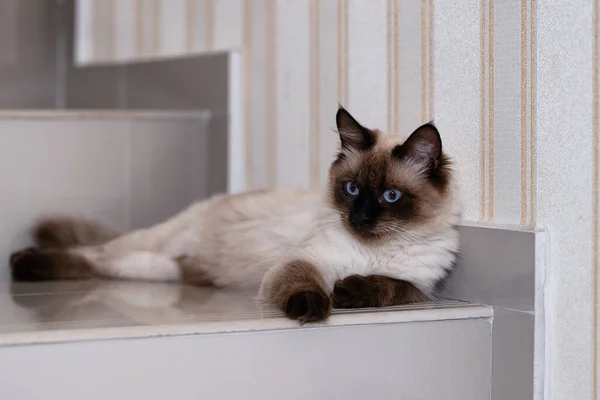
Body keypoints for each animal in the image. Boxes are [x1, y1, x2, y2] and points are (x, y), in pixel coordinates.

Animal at [8, 108, 460, 324]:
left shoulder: (421, 289)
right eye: (351, 190)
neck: (370, 250)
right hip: (152, 243)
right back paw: (22, 263)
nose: (361, 218)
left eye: (390, 196)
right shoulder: (302, 264)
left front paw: (347, 292)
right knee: (93, 254)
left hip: (159, 268)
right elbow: (306, 285)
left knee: (107, 266)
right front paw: (315, 308)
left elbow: (388, 286)